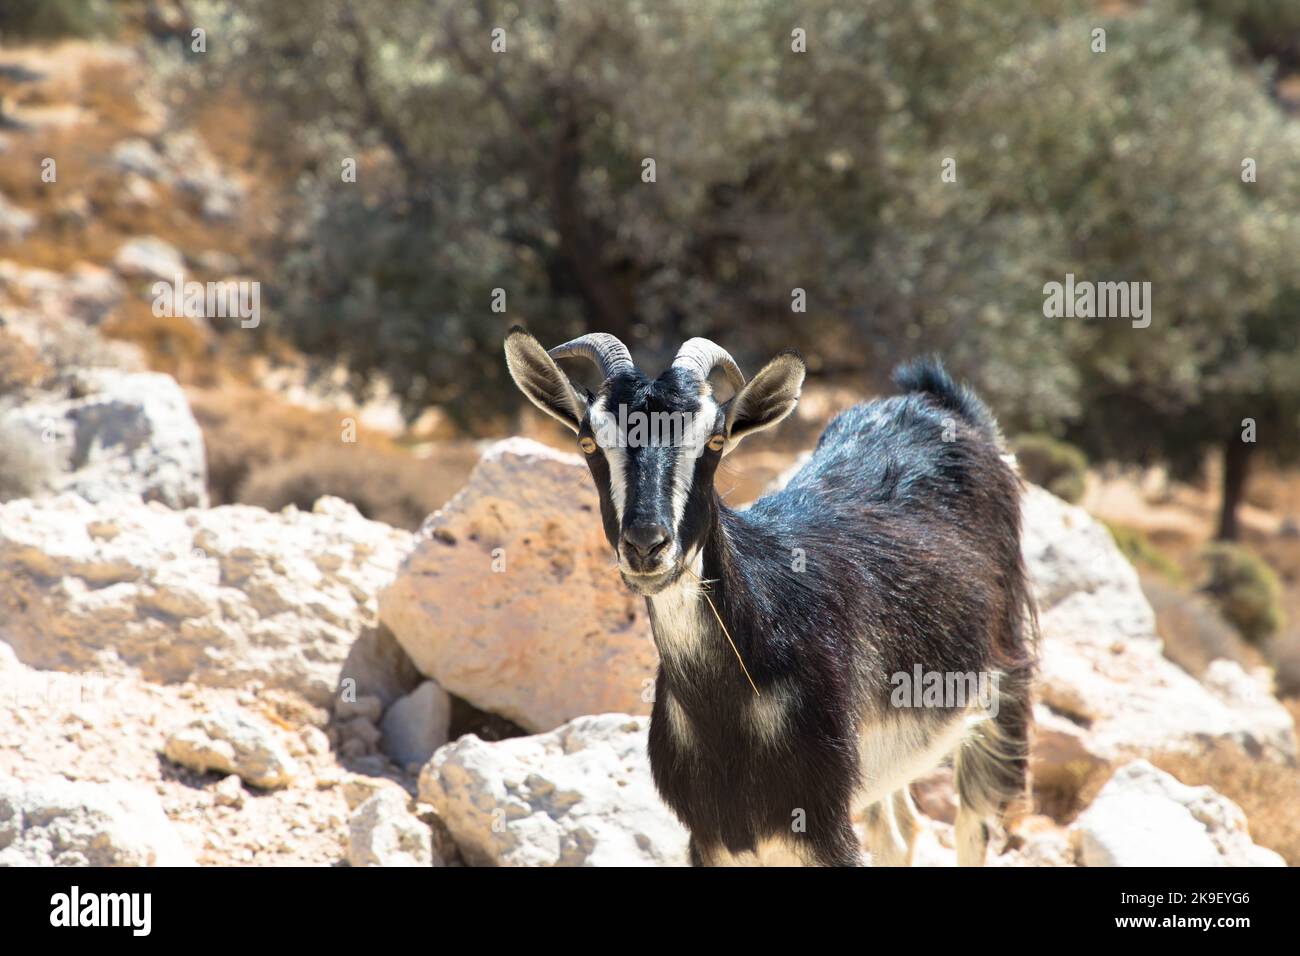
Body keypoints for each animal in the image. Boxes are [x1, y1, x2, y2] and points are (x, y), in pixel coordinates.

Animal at [501, 329, 1029, 868]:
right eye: (589, 441)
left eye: (714, 442)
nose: (647, 544)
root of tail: (933, 399)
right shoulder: (711, 835)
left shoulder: (821, 823)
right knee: (900, 833)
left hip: (1002, 684)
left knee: (973, 826)